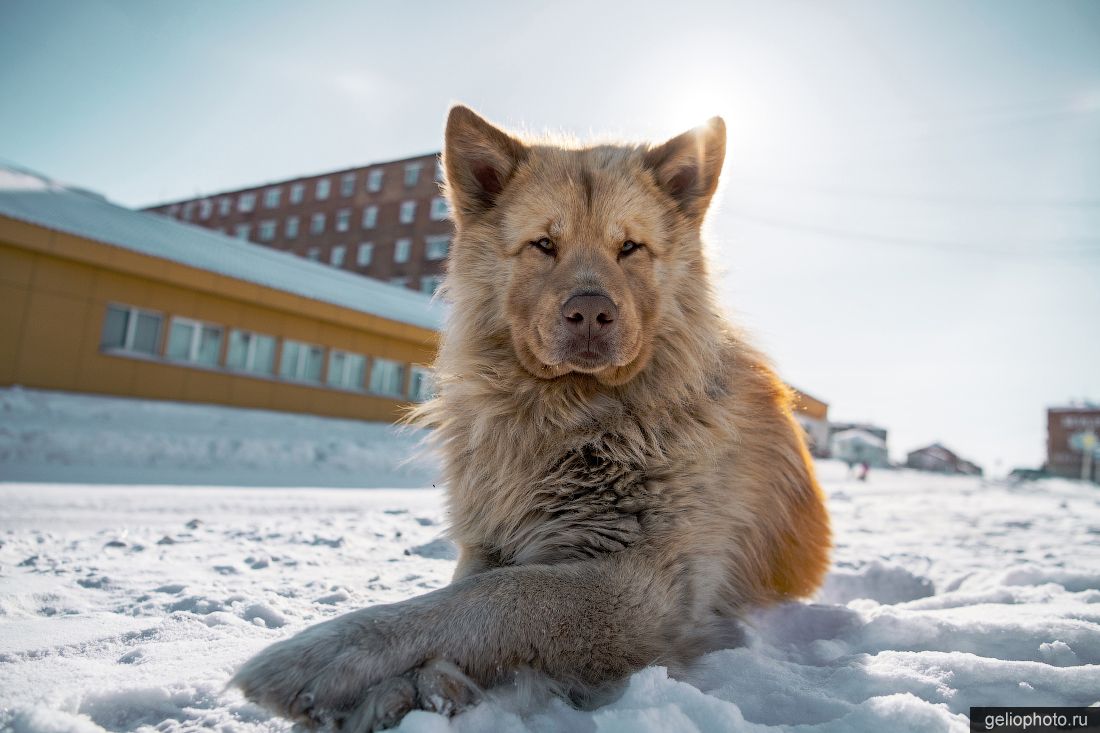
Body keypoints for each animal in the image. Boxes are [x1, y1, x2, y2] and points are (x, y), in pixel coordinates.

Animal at [234, 105, 831, 726]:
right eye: (544, 244)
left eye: (630, 248)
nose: (590, 311)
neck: (573, 420)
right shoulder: (492, 539)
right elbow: (469, 591)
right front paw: (409, 690)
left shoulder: (642, 586)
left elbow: (493, 598)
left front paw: (333, 655)